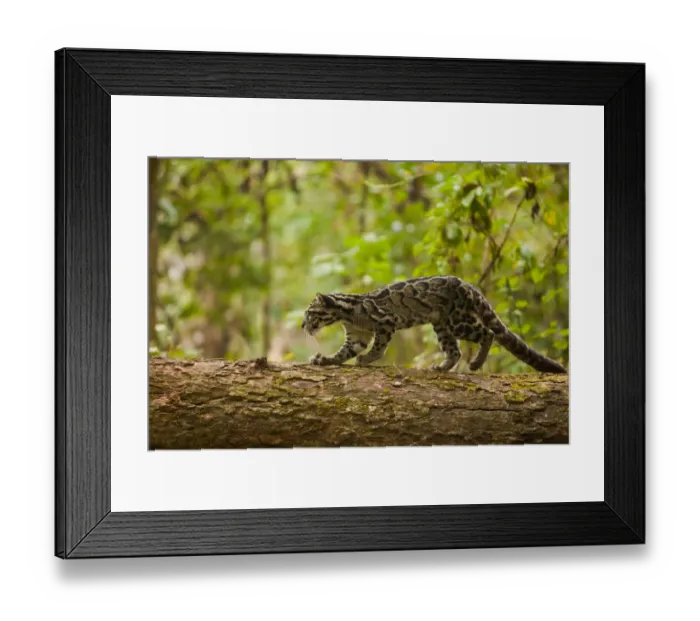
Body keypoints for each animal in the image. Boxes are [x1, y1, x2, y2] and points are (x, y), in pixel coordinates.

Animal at [300, 276, 567, 374]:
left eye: (310, 313)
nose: (303, 326)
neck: (346, 314)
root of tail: (467, 284)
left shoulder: (385, 323)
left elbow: (378, 348)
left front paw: (365, 359)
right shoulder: (357, 337)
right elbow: (343, 353)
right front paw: (325, 360)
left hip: (457, 320)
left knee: (487, 332)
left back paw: (476, 363)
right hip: (441, 324)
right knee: (455, 350)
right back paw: (442, 367)